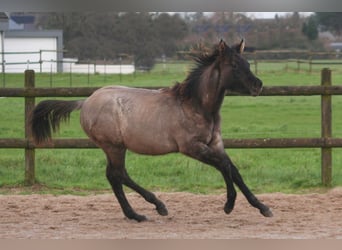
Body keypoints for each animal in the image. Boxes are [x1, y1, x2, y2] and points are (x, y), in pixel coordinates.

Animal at [30, 39, 274, 221]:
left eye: (247, 63)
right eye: (234, 65)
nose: (258, 85)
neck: (196, 105)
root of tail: (85, 102)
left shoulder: (215, 143)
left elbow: (233, 169)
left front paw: (263, 207)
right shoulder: (191, 148)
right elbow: (224, 166)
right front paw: (229, 204)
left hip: (115, 148)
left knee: (116, 175)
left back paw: (142, 211)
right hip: (113, 146)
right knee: (117, 174)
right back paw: (149, 210)